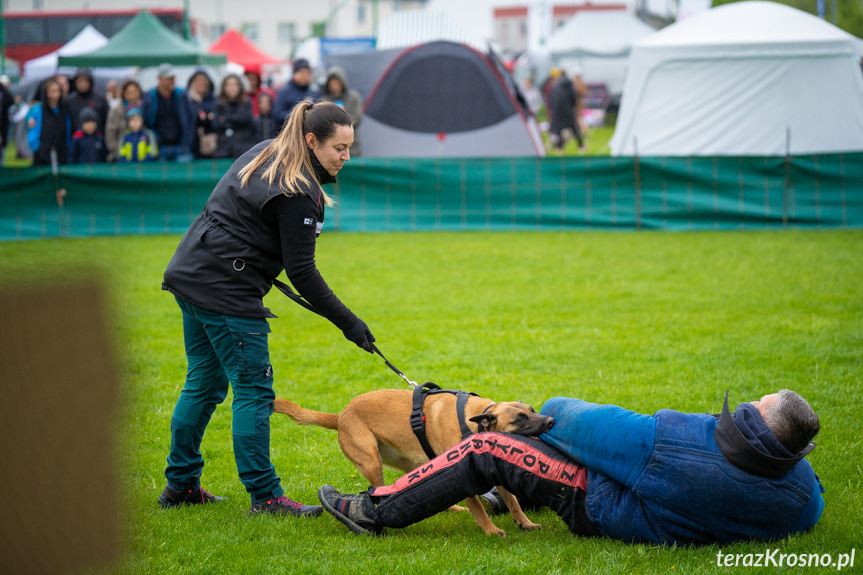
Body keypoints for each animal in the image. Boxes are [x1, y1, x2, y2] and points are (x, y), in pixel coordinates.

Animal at [278, 390, 560, 536]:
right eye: (520, 419)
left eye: (533, 410)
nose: (551, 421)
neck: (471, 421)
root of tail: (340, 416)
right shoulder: (465, 474)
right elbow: (479, 508)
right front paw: (491, 531)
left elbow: (513, 502)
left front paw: (525, 523)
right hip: (372, 462)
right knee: (377, 492)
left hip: (415, 463)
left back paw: (453, 508)